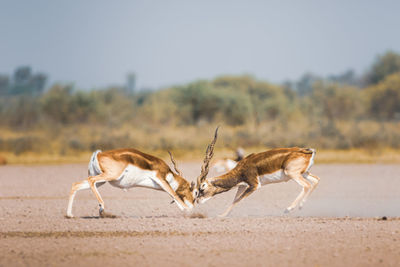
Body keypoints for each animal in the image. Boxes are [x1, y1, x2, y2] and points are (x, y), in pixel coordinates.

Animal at [65, 128, 217, 220]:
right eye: (196, 192)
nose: (194, 205)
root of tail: (99, 154)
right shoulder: (160, 178)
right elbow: (173, 194)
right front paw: (190, 212)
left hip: (102, 181)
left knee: (75, 184)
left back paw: (70, 215)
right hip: (110, 176)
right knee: (91, 180)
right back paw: (102, 209)